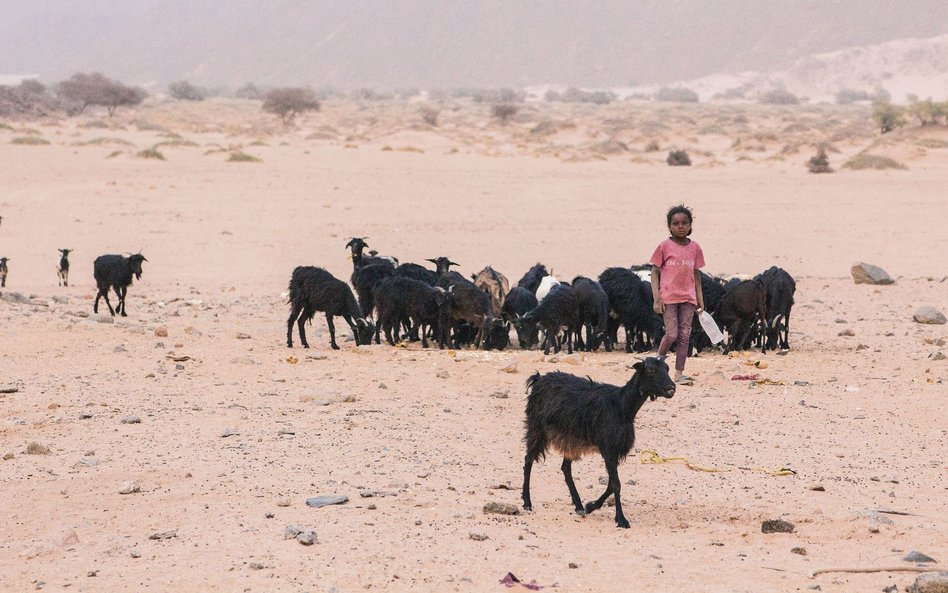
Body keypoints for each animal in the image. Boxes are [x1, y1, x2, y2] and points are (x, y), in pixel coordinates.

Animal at [524, 356, 676, 528]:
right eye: (650, 370)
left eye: (667, 368)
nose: (671, 388)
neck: (621, 406)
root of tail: (539, 379)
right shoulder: (608, 448)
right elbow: (616, 484)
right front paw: (621, 519)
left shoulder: (614, 451)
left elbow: (611, 484)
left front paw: (590, 506)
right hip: (536, 427)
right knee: (528, 460)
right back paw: (527, 502)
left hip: (570, 439)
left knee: (565, 468)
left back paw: (579, 506)